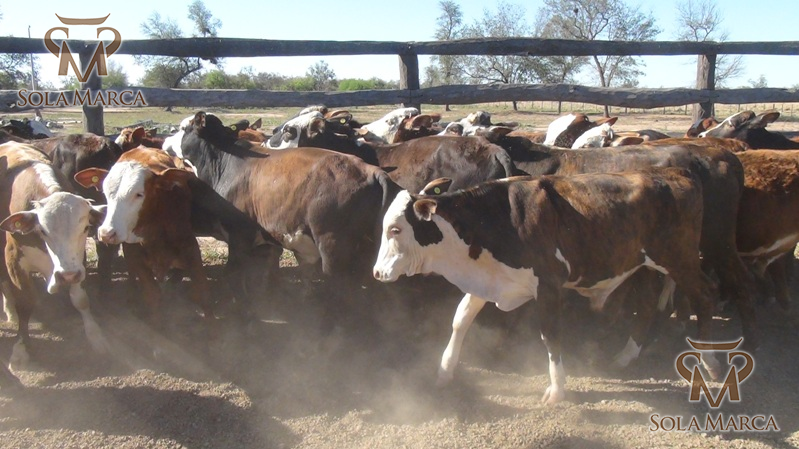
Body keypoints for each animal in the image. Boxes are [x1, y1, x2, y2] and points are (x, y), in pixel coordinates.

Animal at [0, 142, 109, 385]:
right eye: (43, 230)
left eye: (85, 228)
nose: (66, 276)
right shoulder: (13, 260)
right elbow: (25, 303)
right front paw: (20, 349)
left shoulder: (77, 261)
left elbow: (80, 300)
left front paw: (95, 336)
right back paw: (9, 311)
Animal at [372, 170, 721, 403]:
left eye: (395, 229)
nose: (377, 272)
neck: (500, 219)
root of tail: (677, 174)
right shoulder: (489, 280)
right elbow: (460, 320)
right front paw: (445, 370)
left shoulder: (549, 286)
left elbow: (550, 336)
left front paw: (556, 389)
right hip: (645, 266)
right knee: (648, 304)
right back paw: (626, 356)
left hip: (679, 258)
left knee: (705, 296)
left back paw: (710, 362)